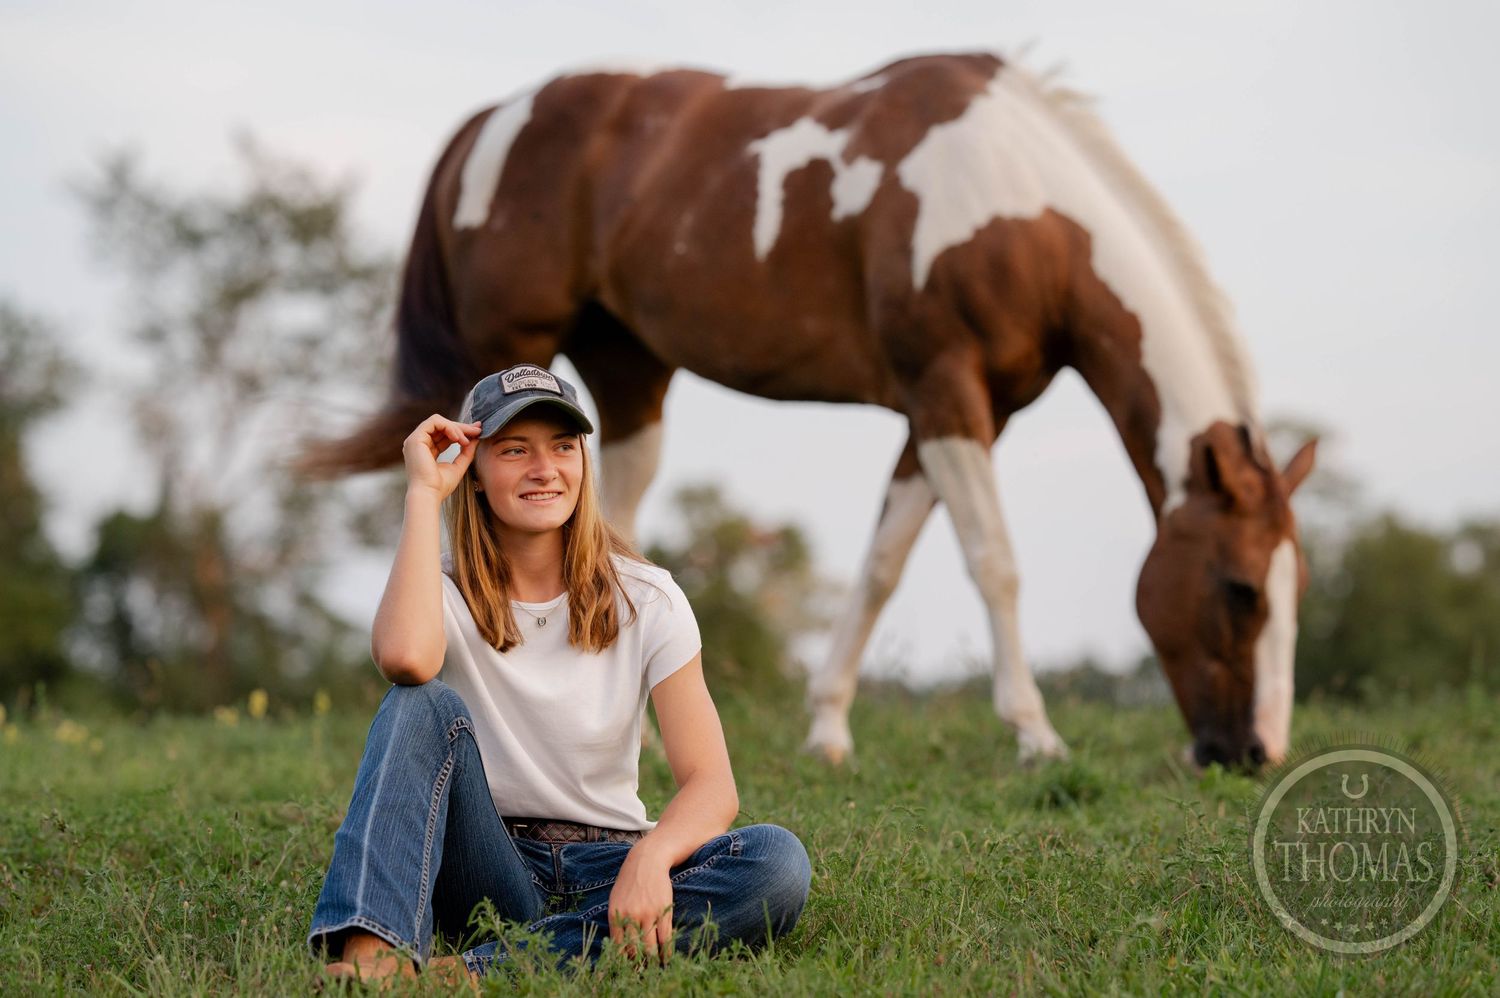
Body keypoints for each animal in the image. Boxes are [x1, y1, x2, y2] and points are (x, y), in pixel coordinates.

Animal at [300, 51, 1317, 770]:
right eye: (1239, 588)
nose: (1254, 754)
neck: (1015, 199)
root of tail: (491, 119)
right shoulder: (947, 390)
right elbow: (993, 564)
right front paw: (1036, 736)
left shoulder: (947, 413)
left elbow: (881, 565)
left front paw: (828, 731)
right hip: (505, 356)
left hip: (627, 377)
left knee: (609, 527)